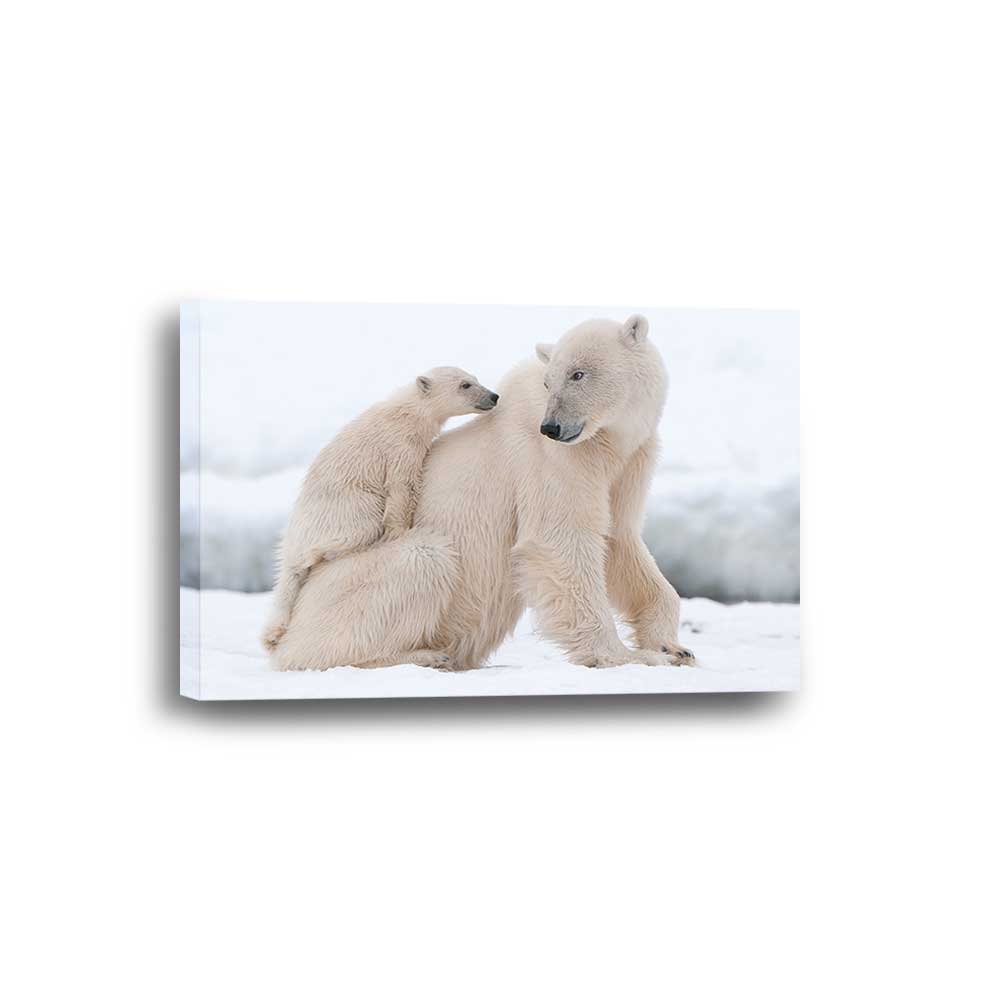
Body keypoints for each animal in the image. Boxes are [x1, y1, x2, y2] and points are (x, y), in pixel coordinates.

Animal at [260, 367, 499, 653]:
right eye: (465, 385)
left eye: (475, 379)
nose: (494, 396)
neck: (407, 411)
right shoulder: (400, 446)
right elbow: (401, 486)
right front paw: (399, 532)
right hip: (346, 508)